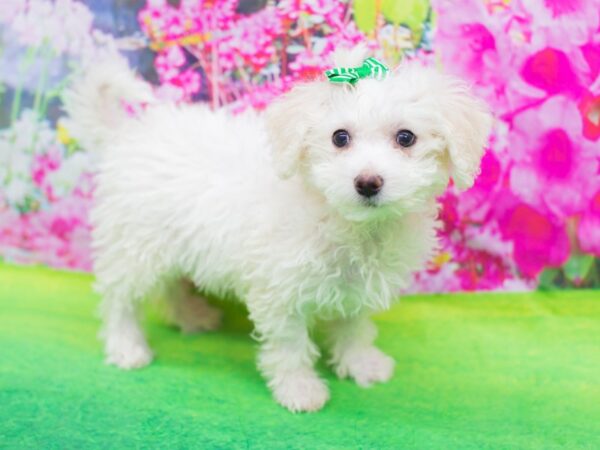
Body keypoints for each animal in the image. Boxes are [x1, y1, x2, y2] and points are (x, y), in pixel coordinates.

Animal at [63, 47, 490, 414]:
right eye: (340, 137)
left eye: (406, 137)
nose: (367, 182)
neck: (346, 223)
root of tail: (124, 135)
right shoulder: (279, 292)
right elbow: (290, 345)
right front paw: (300, 390)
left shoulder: (354, 290)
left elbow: (354, 328)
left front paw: (361, 364)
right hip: (134, 244)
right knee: (120, 299)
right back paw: (126, 347)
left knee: (170, 287)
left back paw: (190, 317)